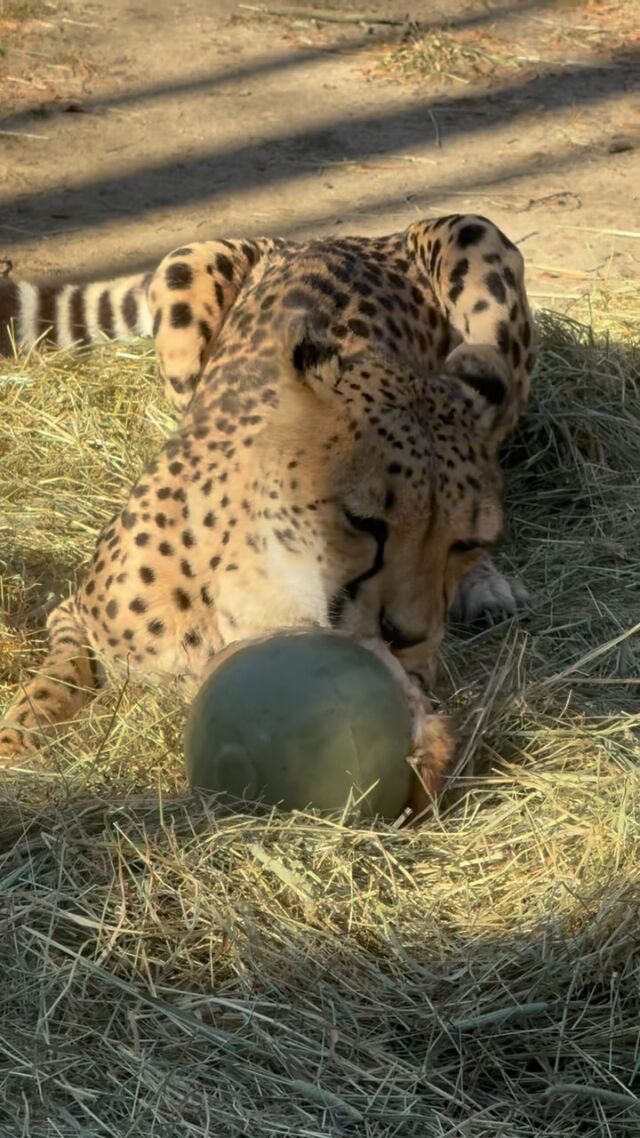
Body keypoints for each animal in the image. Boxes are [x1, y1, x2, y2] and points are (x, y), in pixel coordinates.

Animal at [0, 215, 535, 801]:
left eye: (464, 543)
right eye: (364, 521)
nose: (406, 634)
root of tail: (339, 238)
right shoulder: (73, 613)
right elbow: (56, 675)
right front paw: (18, 739)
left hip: (475, 245)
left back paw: (487, 587)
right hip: (181, 280)